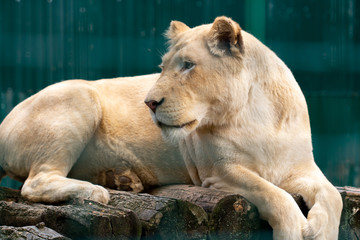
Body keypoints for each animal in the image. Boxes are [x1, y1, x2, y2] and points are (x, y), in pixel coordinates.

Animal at [0, 17, 342, 240]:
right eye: (162, 67)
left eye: (188, 65)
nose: (149, 103)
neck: (257, 115)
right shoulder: (219, 171)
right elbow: (273, 194)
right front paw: (295, 229)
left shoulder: (302, 168)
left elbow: (332, 197)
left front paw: (319, 229)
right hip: (80, 94)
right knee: (35, 183)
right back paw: (95, 191)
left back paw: (123, 180)